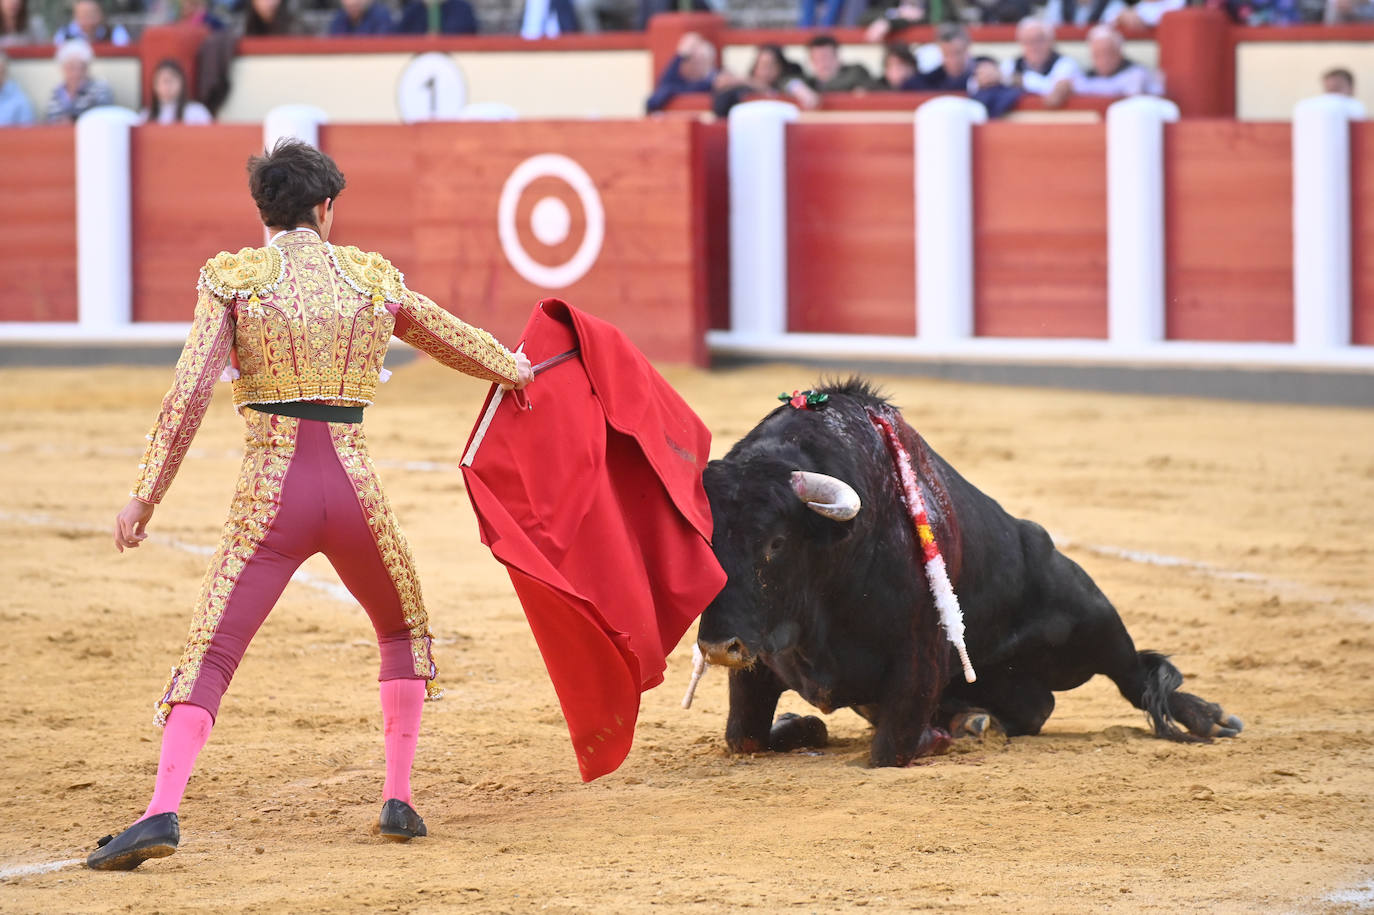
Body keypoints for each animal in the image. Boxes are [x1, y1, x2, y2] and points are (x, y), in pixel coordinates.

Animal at [697, 376, 1247, 763]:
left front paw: (938, 737)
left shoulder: (918, 654)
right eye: (706, 542)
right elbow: (742, 738)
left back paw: (1208, 718)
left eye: (776, 542)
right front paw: (800, 726)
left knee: (1134, 674)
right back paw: (975, 720)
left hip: (1090, 617)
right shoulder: (760, 661)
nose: (718, 647)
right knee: (1038, 709)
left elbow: (891, 749)